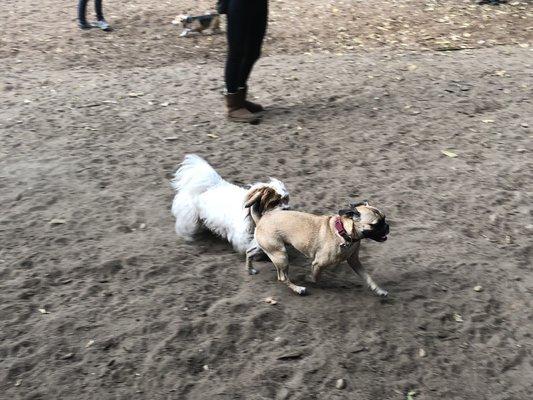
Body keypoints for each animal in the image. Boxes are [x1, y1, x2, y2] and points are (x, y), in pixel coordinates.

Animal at [244, 202, 386, 296]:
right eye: (376, 225)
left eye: (384, 219)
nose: (387, 226)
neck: (344, 233)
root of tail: (261, 219)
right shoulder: (318, 264)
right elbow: (315, 277)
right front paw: (309, 279)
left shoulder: (354, 261)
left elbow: (367, 276)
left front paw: (378, 290)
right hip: (281, 255)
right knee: (282, 277)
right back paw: (298, 289)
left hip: (265, 248)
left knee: (249, 253)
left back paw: (250, 269)